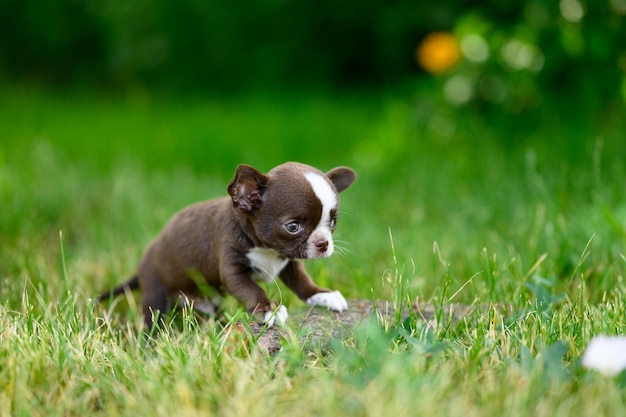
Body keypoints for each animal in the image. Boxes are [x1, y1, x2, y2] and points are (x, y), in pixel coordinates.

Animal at [95, 162, 354, 328]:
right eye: (293, 226)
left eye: (332, 222)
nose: (323, 243)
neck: (267, 250)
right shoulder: (233, 270)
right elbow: (251, 289)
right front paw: (268, 309)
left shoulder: (289, 264)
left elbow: (302, 282)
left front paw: (322, 294)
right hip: (154, 293)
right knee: (151, 319)